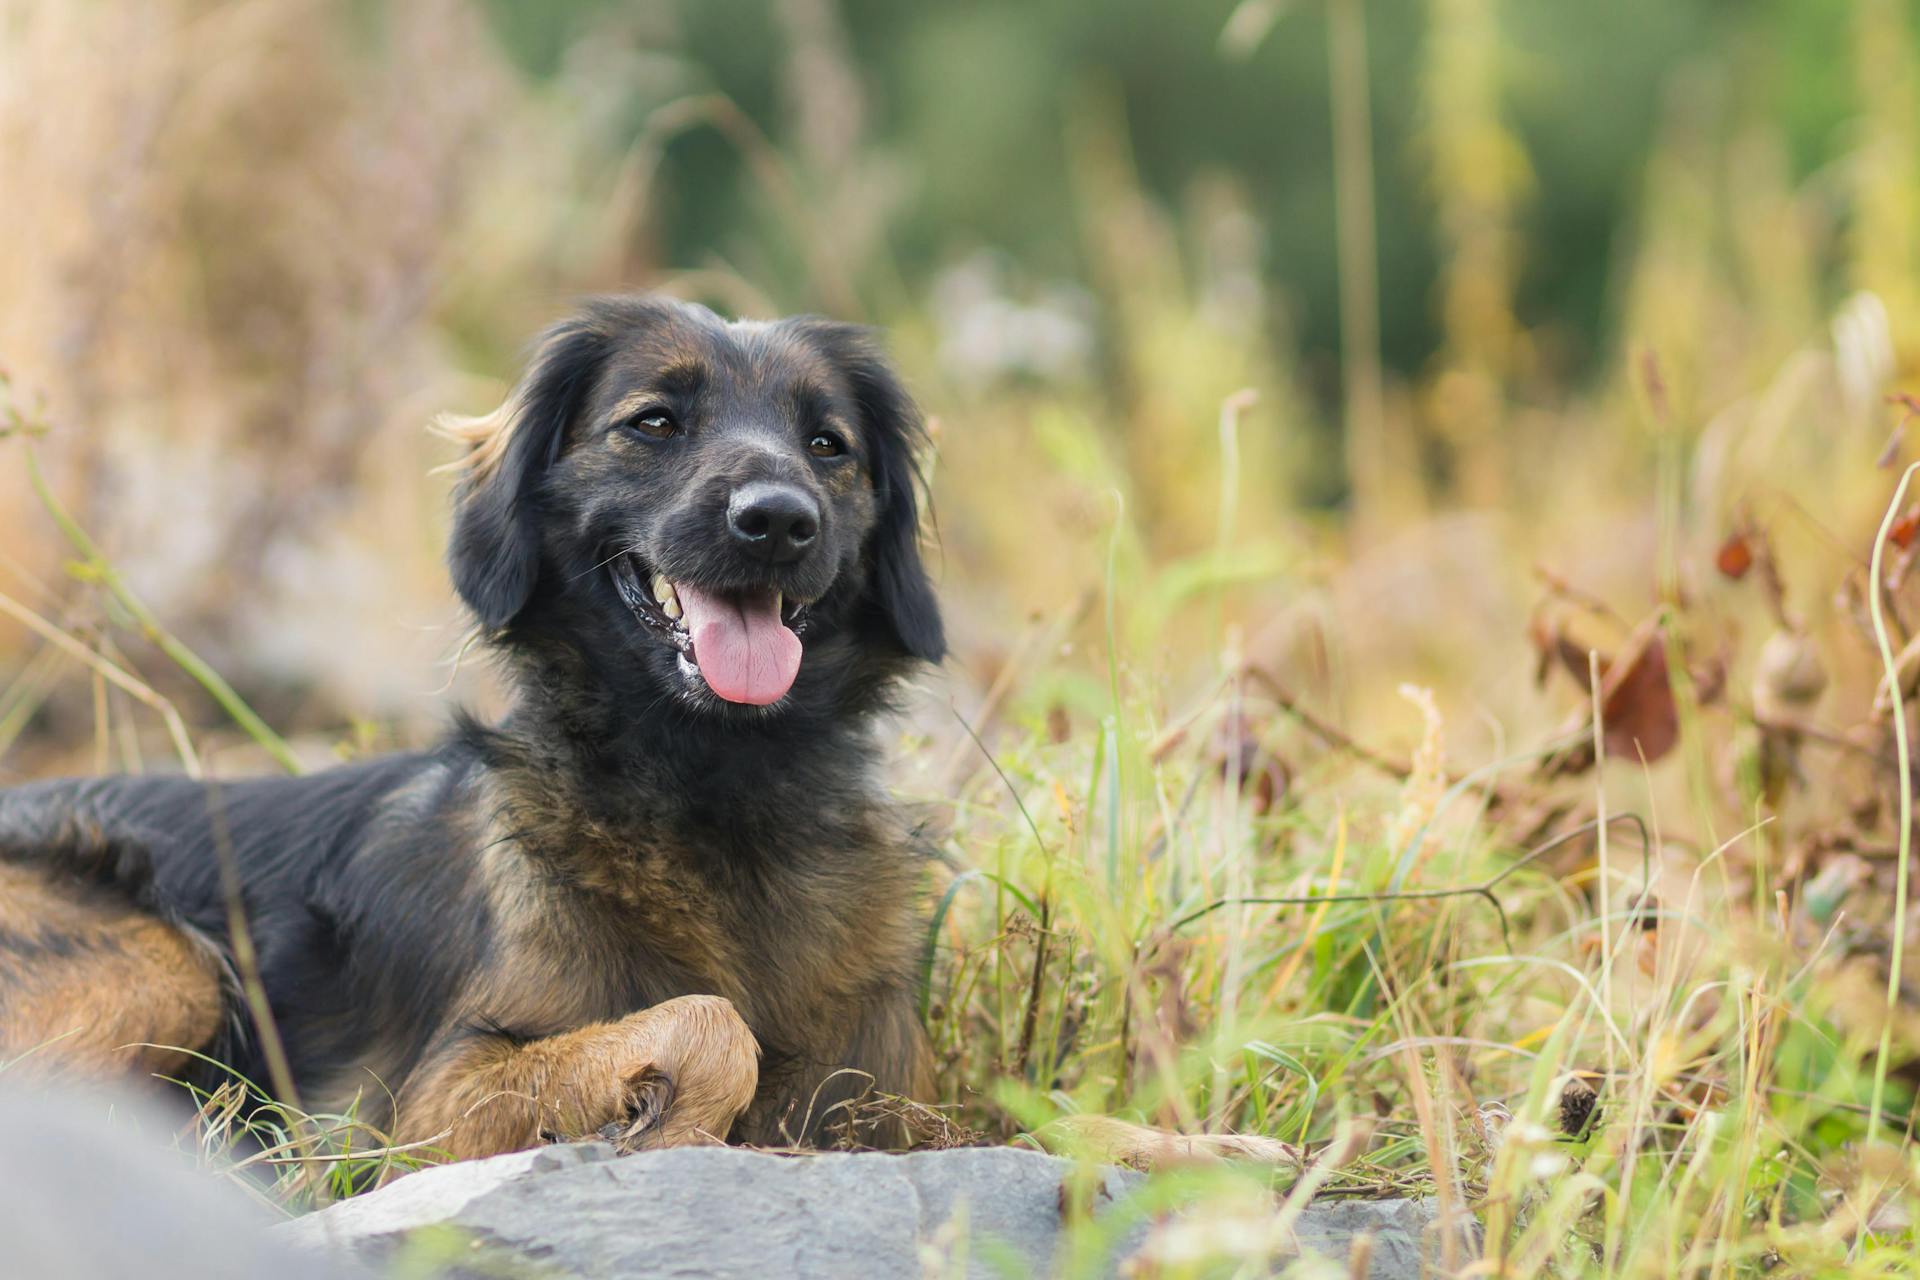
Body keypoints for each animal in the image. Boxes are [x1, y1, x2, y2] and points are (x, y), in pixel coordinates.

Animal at [0, 297, 944, 1159]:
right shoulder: (429, 1106)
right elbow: (709, 1024)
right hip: (168, 966)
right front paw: (657, 1128)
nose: (778, 520)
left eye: (827, 445)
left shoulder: (891, 1091)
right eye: (654, 423)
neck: (721, 793)